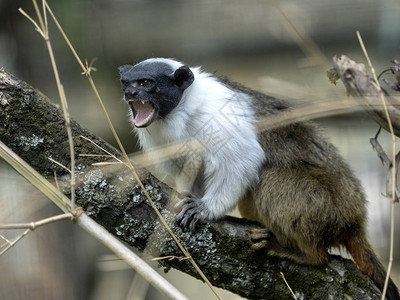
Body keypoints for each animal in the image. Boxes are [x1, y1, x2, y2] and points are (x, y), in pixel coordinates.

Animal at [118, 58, 400, 300]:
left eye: (145, 83)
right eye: (126, 82)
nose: (130, 94)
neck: (183, 109)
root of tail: (355, 220)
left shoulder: (216, 118)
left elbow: (242, 159)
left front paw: (205, 208)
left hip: (329, 206)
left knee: (271, 179)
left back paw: (306, 254)